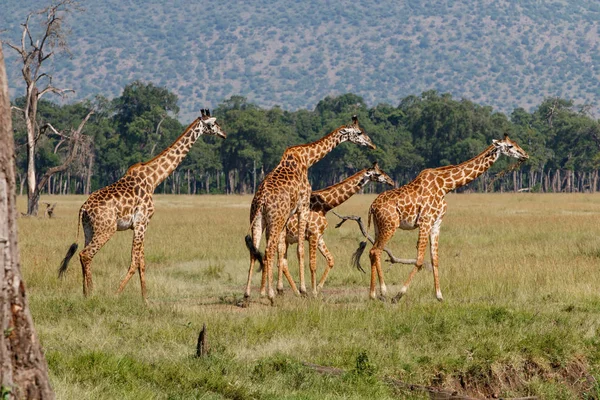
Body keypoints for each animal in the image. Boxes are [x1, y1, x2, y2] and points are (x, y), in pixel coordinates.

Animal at [57, 109, 226, 304]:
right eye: (213, 124)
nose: (224, 134)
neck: (154, 179)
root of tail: (83, 208)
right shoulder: (142, 223)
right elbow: (134, 262)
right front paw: (117, 294)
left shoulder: (141, 225)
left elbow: (142, 263)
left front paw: (145, 300)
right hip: (106, 229)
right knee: (86, 254)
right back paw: (92, 294)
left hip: (89, 229)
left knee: (82, 254)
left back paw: (85, 294)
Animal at [244, 116, 376, 306]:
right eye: (359, 132)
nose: (372, 145)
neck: (306, 159)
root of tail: (261, 200)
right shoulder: (303, 205)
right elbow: (300, 249)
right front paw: (304, 290)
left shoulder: (291, 215)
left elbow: (287, 252)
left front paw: (291, 290)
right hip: (275, 220)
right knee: (268, 251)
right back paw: (270, 295)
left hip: (257, 219)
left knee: (255, 251)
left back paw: (247, 295)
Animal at [278, 161, 396, 296]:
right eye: (378, 173)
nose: (391, 182)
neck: (324, 206)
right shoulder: (313, 234)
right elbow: (312, 264)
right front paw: (313, 292)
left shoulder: (319, 236)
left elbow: (330, 260)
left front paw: (318, 288)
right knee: (279, 260)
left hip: (287, 239)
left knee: (282, 262)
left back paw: (293, 291)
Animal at [354, 134, 528, 300]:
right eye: (510, 146)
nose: (525, 155)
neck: (446, 186)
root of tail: (372, 206)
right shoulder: (425, 221)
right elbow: (419, 260)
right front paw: (399, 295)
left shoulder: (436, 223)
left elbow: (435, 259)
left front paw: (439, 296)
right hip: (390, 225)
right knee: (376, 251)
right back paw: (383, 292)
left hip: (379, 227)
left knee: (372, 251)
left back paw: (373, 294)